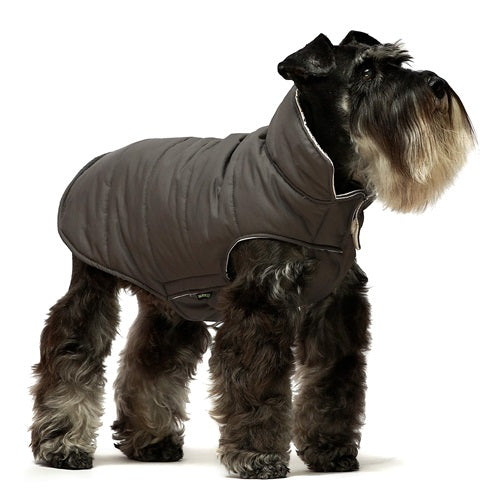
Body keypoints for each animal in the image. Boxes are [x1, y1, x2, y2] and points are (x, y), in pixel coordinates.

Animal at [31, 31, 475, 478]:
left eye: (400, 63)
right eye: (366, 71)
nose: (436, 85)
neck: (305, 178)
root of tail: (95, 163)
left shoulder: (335, 307)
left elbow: (332, 379)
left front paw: (330, 450)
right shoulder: (260, 303)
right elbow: (259, 381)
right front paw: (258, 455)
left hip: (170, 298)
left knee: (150, 359)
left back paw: (149, 440)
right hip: (94, 285)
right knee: (71, 352)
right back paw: (62, 444)